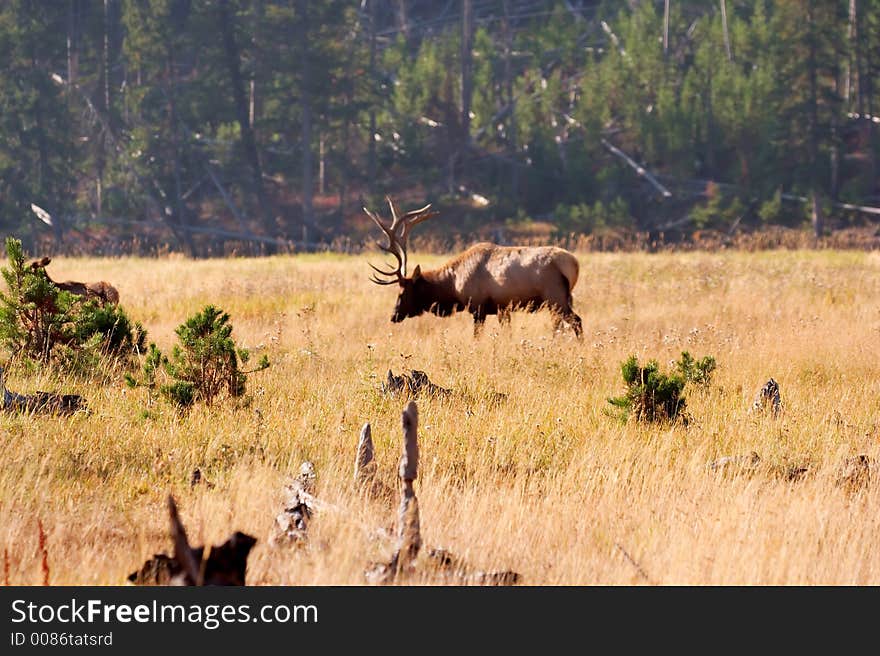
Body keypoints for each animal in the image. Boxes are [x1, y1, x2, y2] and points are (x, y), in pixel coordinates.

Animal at [366, 197, 584, 336]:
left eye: (402, 292)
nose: (393, 316)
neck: (453, 285)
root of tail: (574, 264)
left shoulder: (477, 307)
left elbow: (477, 337)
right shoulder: (502, 309)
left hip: (555, 297)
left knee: (576, 322)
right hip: (559, 300)